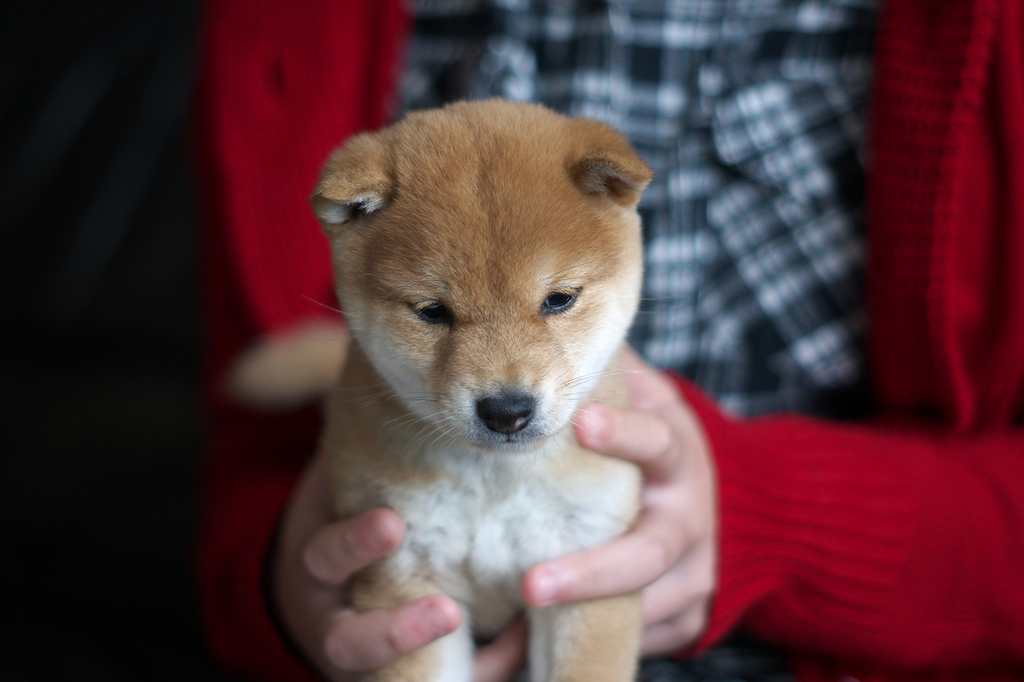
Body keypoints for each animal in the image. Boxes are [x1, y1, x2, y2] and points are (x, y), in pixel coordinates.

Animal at [307, 99, 651, 679]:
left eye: (559, 299)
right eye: (432, 312)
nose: (507, 410)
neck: (495, 483)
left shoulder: (586, 565)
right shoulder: (405, 577)